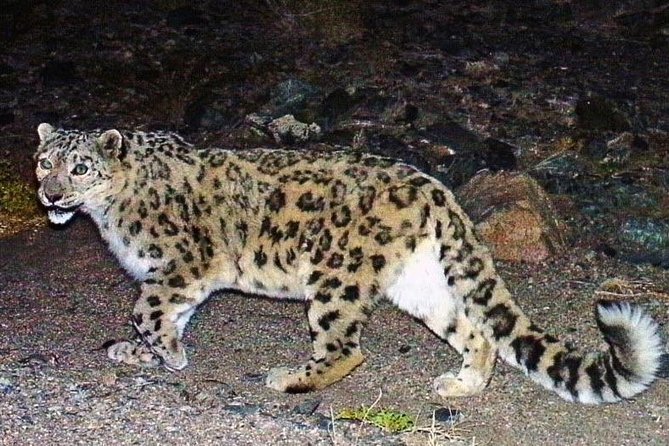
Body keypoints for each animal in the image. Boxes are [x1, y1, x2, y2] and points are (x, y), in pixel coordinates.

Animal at [34, 123, 667, 404]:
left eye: (80, 167)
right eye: (44, 161)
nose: (49, 194)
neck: (107, 214)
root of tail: (432, 185)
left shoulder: (185, 265)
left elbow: (147, 308)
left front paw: (167, 355)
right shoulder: (176, 279)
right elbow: (163, 315)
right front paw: (147, 353)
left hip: (334, 276)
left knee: (346, 347)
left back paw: (292, 377)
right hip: (419, 283)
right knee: (474, 329)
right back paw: (462, 384)